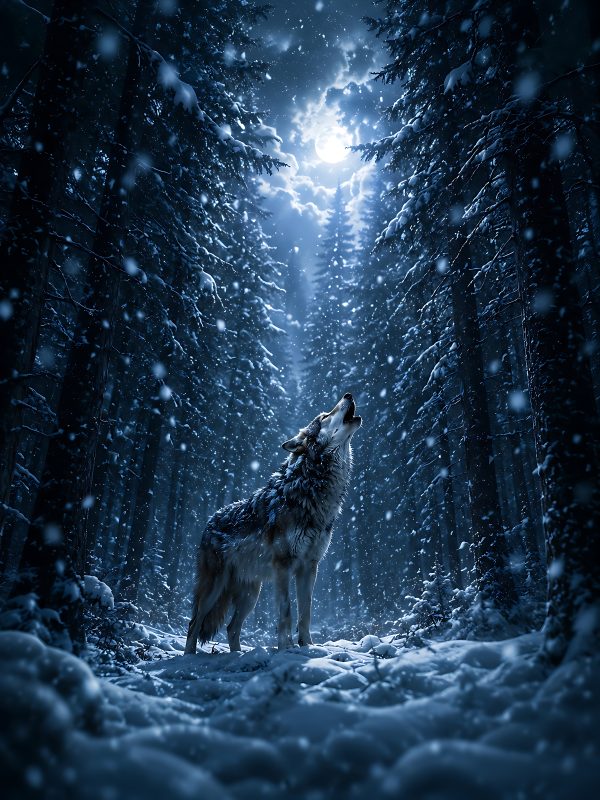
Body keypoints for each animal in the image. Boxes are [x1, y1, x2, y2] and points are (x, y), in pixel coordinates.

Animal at [184, 393, 362, 654]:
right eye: (324, 416)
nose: (348, 394)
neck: (310, 488)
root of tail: (210, 521)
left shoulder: (309, 566)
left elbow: (306, 612)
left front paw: (308, 646)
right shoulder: (283, 566)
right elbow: (286, 612)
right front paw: (286, 647)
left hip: (251, 593)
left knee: (231, 627)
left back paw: (237, 654)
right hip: (215, 587)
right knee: (194, 622)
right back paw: (189, 656)